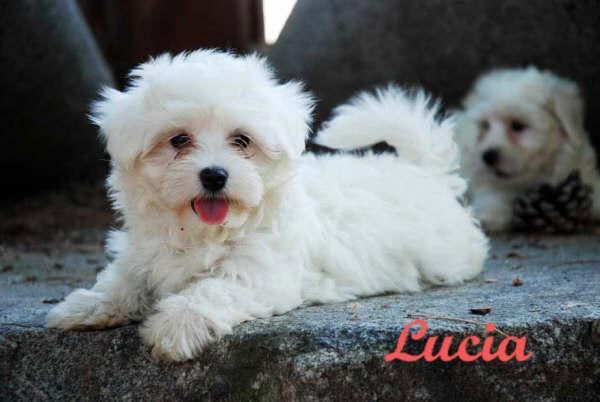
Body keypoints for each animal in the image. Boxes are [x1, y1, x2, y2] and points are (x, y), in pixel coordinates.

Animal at [47, 50, 488, 362]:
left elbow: (214, 288)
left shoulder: (260, 270)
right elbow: (122, 279)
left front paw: (177, 323)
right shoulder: (142, 252)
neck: (201, 230)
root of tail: (424, 171)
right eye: (179, 140)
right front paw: (85, 305)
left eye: (242, 140)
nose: (214, 175)